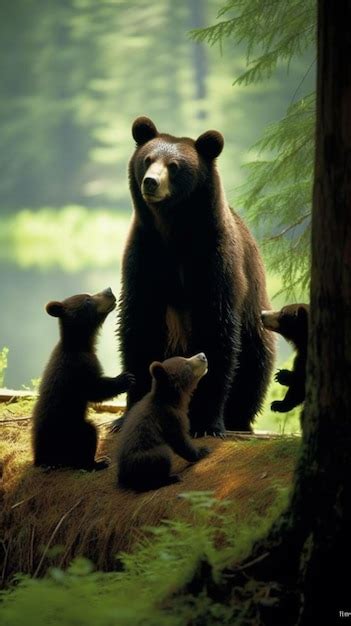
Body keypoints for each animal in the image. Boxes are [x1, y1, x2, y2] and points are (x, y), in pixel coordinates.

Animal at [117, 117, 276, 436]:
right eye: (148, 159)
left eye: (175, 165)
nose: (151, 182)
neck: (174, 232)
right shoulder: (145, 255)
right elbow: (138, 325)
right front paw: (128, 414)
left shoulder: (214, 260)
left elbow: (217, 330)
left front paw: (206, 422)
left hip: (256, 320)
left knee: (256, 363)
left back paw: (239, 418)